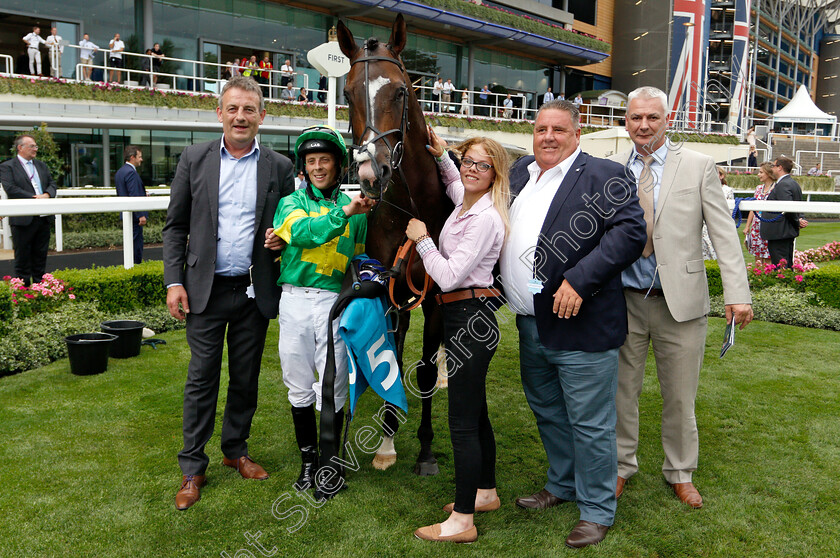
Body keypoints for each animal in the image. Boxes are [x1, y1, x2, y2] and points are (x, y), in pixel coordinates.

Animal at [334, 14, 452, 476]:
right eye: (347, 93)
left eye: (400, 90)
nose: (371, 174)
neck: (411, 211)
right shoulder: (388, 288)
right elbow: (394, 357)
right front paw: (386, 442)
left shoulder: (436, 296)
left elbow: (422, 369)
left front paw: (425, 450)